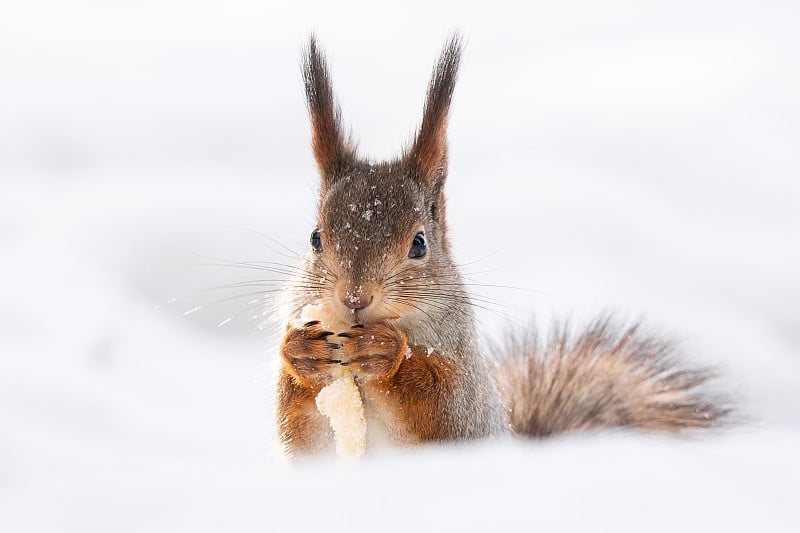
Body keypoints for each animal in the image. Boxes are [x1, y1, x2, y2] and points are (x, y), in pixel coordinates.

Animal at [274, 34, 724, 458]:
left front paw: (386, 353)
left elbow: (443, 409)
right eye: (315, 238)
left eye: (419, 244)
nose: (355, 298)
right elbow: (295, 423)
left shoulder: (466, 396)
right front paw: (300, 351)